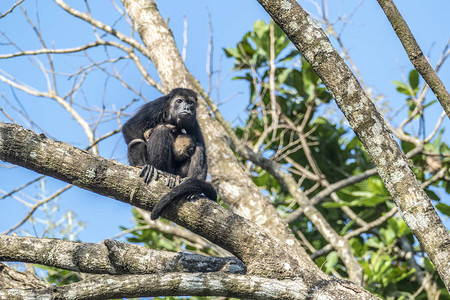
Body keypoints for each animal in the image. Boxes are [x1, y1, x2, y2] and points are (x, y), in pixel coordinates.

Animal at [121, 88, 216, 219]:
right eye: (179, 101)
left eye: (190, 102)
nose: (186, 108)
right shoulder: (156, 106)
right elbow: (131, 127)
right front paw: (142, 164)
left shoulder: (193, 121)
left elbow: (201, 144)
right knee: (161, 129)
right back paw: (161, 170)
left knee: (198, 146)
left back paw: (188, 184)